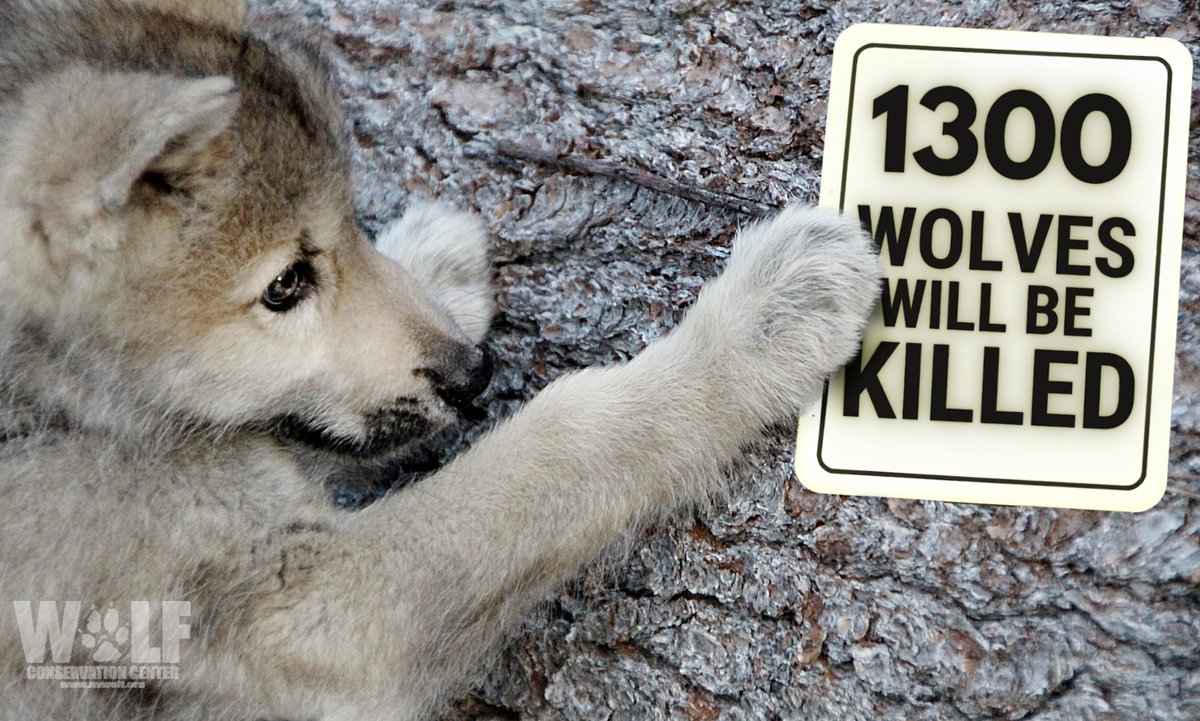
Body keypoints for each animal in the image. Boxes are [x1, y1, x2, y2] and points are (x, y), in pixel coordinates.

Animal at [0, 1, 880, 719]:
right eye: (285, 284)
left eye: (348, 219)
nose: (473, 373)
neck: (50, 410)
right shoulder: (301, 612)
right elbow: (562, 440)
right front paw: (760, 321)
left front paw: (434, 260)